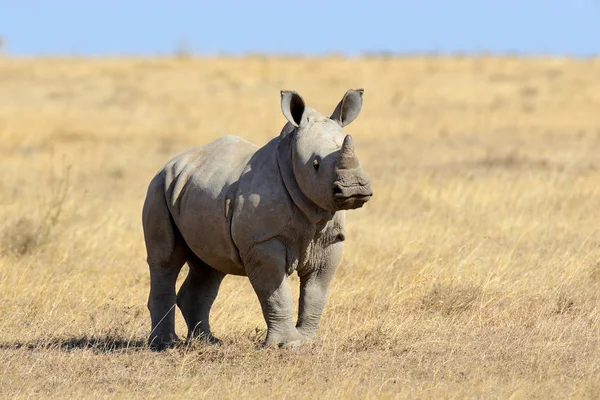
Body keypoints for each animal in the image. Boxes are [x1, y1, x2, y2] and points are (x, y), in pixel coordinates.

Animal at [143, 88, 372, 350]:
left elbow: (317, 290)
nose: (355, 189)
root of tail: (172, 162)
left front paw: (307, 342)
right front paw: (287, 345)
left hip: (194, 189)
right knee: (165, 260)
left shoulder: (331, 238)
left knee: (210, 266)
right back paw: (163, 345)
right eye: (315, 164)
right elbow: (275, 292)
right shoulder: (262, 240)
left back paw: (209, 342)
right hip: (159, 186)